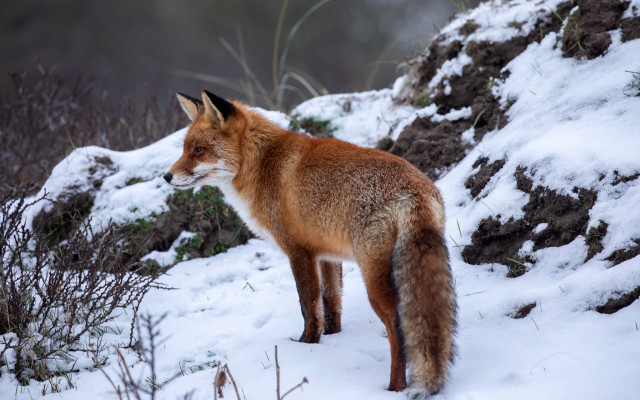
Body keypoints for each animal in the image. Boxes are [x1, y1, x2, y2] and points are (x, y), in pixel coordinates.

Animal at [164, 90, 457, 396]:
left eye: (199, 150)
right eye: (185, 148)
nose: (167, 176)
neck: (261, 163)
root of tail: (415, 191)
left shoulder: (298, 251)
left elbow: (309, 305)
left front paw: (306, 345)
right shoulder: (327, 253)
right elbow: (331, 302)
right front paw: (332, 338)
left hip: (374, 279)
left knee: (398, 329)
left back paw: (394, 388)